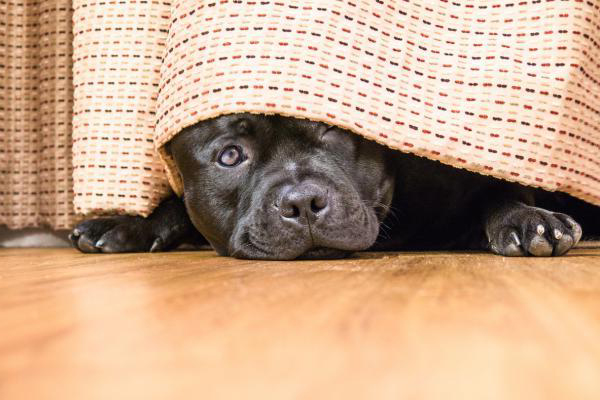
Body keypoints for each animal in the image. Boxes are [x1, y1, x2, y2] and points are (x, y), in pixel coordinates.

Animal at [69, 112, 596, 260]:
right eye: (230, 156)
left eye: (332, 129)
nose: (303, 202)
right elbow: (178, 205)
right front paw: (126, 223)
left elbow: (504, 189)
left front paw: (529, 220)